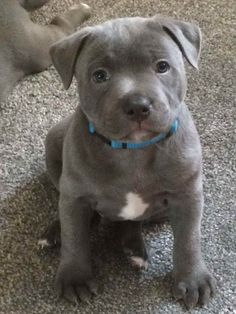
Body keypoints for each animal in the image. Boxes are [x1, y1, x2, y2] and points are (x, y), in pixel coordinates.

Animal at [45, 15, 217, 310]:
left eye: (162, 66)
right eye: (99, 75)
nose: (137, 105)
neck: (133, 150)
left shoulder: (187, 196)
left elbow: (188, 239)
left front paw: (192, 279)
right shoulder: (75, 196)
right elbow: (74, 237)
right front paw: (75, 277)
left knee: (130, 221)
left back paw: (132, 248)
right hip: (54, 145)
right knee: (70, 213)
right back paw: (55, 232)